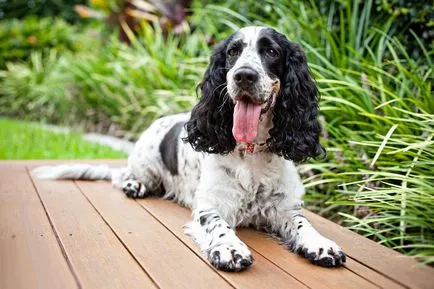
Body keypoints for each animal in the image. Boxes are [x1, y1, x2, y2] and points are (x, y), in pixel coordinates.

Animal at [33, 26, 346, 270]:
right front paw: (230, 249)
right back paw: (134, 185)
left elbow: (303, 224)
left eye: (271, 52)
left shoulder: (283, 208)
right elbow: (218, 225)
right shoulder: (210, 204)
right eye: (232, 52)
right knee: (122, 176)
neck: (251, 152)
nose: (244, 75)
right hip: (144, 164)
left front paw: (321, 244)